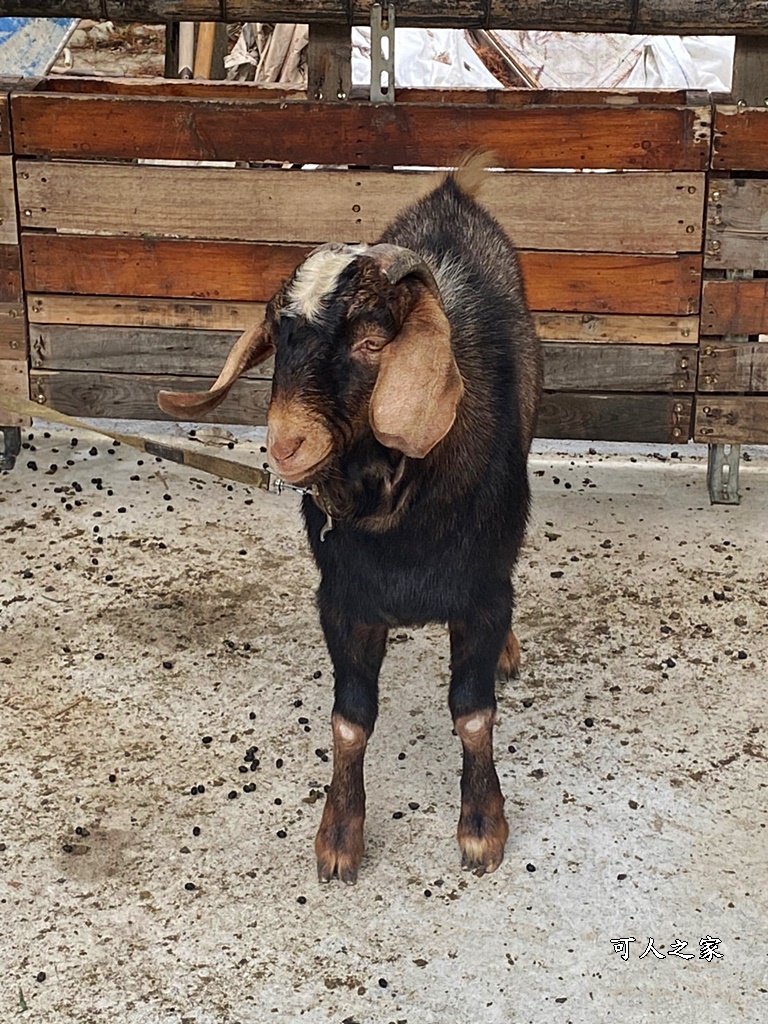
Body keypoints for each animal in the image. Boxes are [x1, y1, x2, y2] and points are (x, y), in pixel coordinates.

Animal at [159, 155, 544, 884]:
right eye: (279, 340)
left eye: (371, 341)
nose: (285, 444)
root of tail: (453, 192)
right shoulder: (343, 601)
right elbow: (350, 720)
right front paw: (338, 837)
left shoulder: (482, 595)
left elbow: (473, 714)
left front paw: (483, 828)